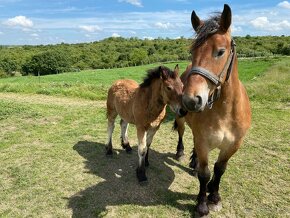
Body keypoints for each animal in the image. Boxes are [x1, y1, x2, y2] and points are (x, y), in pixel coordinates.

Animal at [174, 4, 251, 215]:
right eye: (192, 52)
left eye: (221, 51)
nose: (191, 100)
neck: (225, 112)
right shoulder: (203, 142)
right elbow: (205, 173)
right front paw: (202, 205)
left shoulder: (232, 146)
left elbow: (219, 169)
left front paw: (214, 196)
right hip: (182, 122)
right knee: (182, 135)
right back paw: (182, 154)